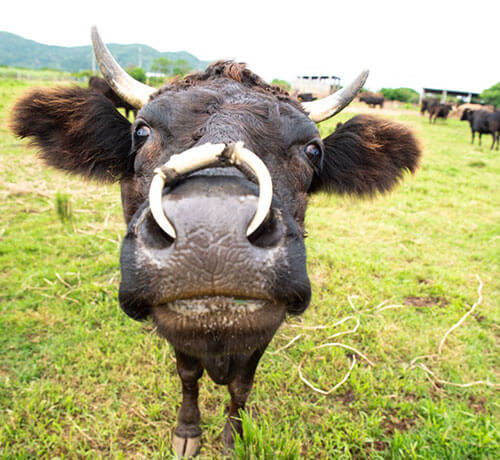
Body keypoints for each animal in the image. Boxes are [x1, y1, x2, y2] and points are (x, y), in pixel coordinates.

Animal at [8, 28, 422, 456]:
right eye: (141, 132)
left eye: (313, 149)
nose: (211, 232)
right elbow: (188, 373)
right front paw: (188, 431)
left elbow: (241, 385)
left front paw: (232, 437)